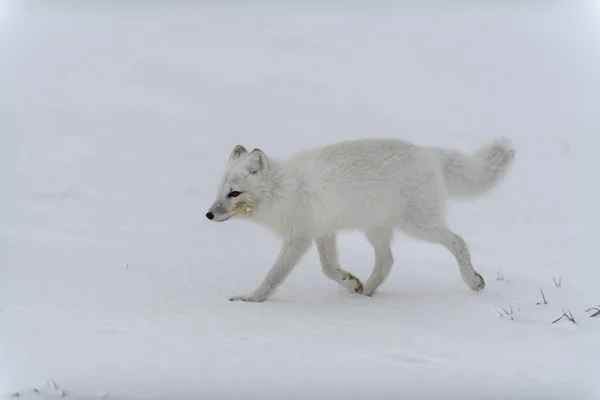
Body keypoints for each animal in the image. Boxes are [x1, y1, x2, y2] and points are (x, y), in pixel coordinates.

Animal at [207, 138, 516, 304]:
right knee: (387, 261)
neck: (284, 189)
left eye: (235, 193)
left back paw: (473, 281)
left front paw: (252, 299)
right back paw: (365, 292)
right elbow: (328, 268)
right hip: (376, 229)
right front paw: (350, 283)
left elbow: (274, 276)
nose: (208, 215)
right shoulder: (323, 232)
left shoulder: (300, 237)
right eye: (220, 190)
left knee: (458, 241)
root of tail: (428, 152)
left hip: (419, 226)